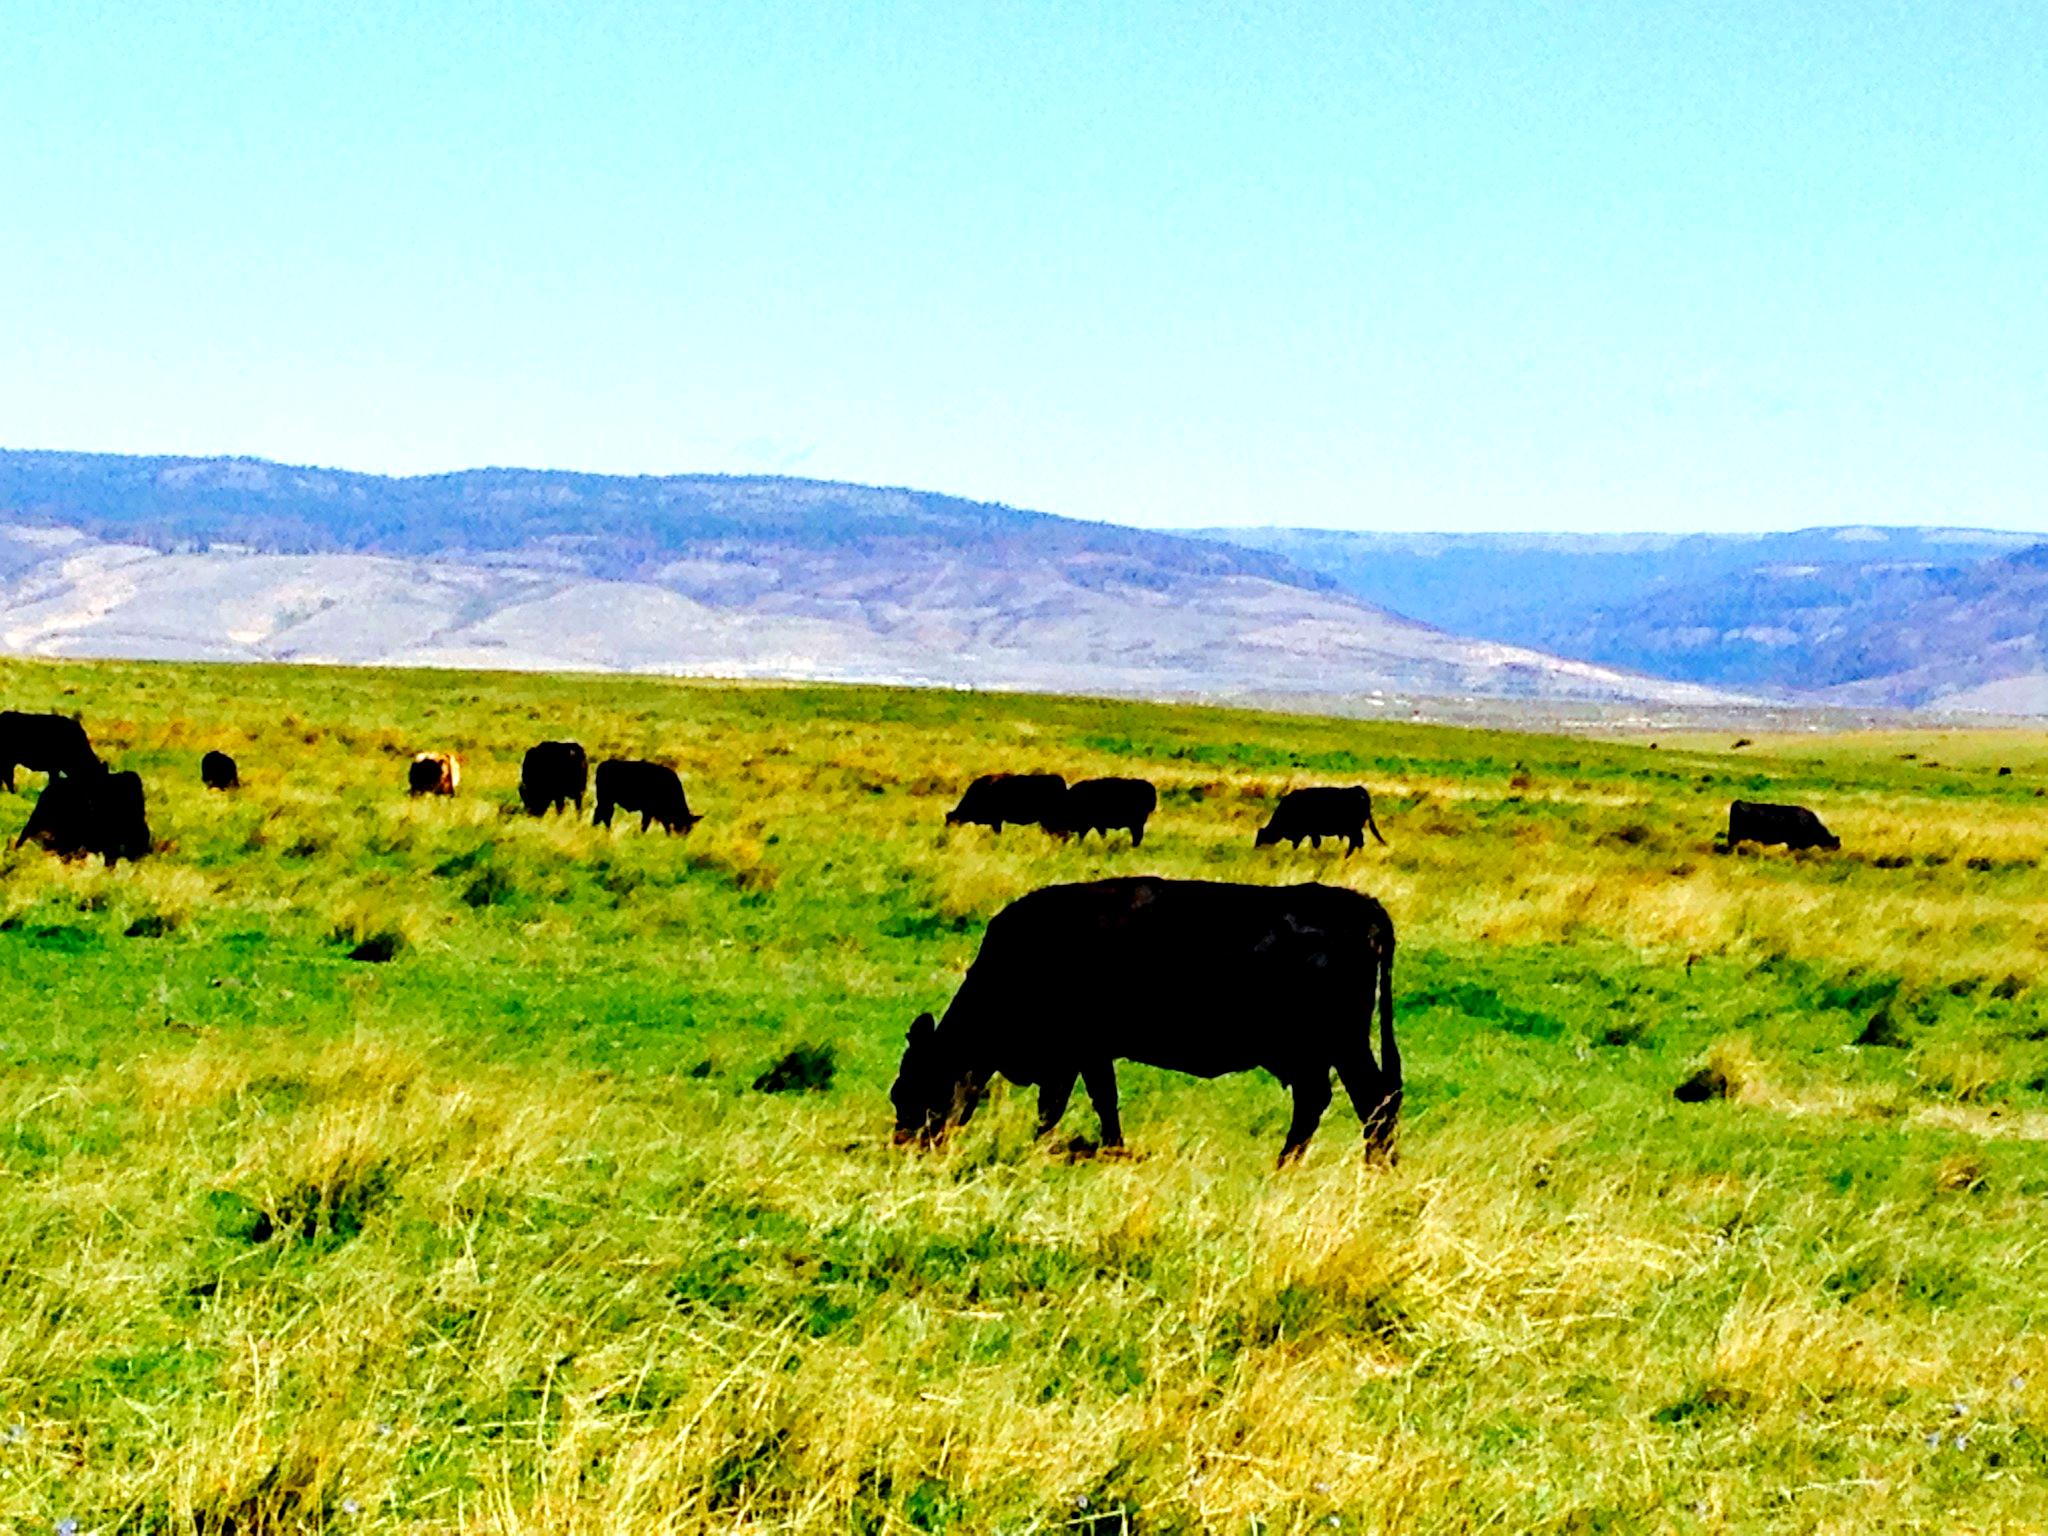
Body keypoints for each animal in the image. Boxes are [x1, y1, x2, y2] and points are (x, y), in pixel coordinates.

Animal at [890, 877, 1400, 1166]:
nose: (906, 1142)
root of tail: (1362, 907)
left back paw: (1363, 1167)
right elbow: (1084, 1103)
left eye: (914, 1087)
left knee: (1370, 1099)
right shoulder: (1081, 1055)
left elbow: (1073, 1103)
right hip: (1317, 1052)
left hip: (1341, 1044)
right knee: (1328, 1101)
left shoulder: (1080, 1049)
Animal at [1256, 786, 1387, 853]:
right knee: (1358, 842)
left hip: (1353, 829)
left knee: (1357, 841)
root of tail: (1357, 789)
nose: (1256, 848)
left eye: (1260, 837)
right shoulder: (1310, 833)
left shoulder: (1310, 833)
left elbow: (1313, 843)